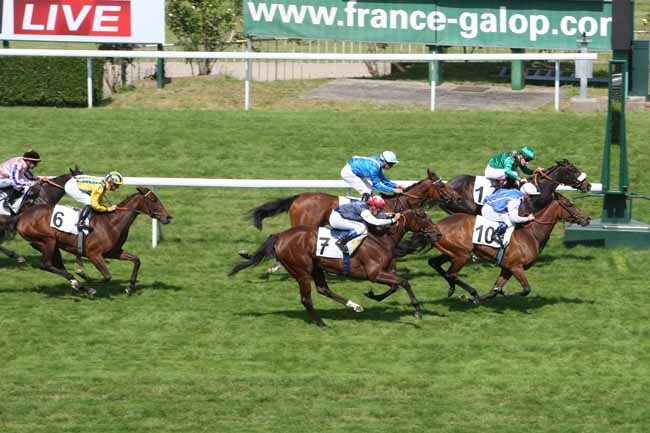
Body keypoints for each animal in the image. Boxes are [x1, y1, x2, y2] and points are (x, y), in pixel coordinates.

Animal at [0, 187, 172, 296]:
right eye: (153, 199)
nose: (168, 217)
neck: (111, 222)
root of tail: (21, 216)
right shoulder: (93, 254)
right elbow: (107, 276)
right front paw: (85, 276)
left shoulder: (114, 252)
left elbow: (136, 260)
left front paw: (130, 288)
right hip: (47, 240)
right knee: (45, 265)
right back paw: (82, 285)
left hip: (51, 244)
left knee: (57, 265)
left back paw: (79, 285)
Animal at [228, 208, 440, 326]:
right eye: (423, 216)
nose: (437, 234)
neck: (381, 239)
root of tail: (280, 235)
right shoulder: (374, 273)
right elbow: (404, 282)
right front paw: (417, 311)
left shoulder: (384, 272)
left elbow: (395, 285)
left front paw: (373, 296)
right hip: (302, 270)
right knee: (306, 299)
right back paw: (322, 324)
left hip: (316, 267)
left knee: (323, 289)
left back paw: (355, 306)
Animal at [394, 192, 588, 304]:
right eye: (570, 205)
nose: (586, 219)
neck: (531, 234)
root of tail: (436, 226)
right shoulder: (516, 267)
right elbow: (525, 289)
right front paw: (504, 294)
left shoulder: (507, 268)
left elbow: (494, 291)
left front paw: (478, 298)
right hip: (462, 254)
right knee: (451, 273)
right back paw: (468, 291)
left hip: (451, 253)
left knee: (434, 263)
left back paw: (454, 290)